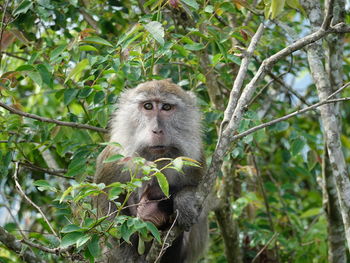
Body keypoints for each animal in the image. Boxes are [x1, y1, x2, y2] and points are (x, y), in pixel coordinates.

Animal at [93, 80, 208, 263]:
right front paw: (127, 254)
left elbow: (203, 193)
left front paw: (185, 200)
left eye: (166, 107)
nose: (156, 130)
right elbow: (104, 200)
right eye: (148, 106)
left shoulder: (194, 159)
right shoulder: (114, 158)